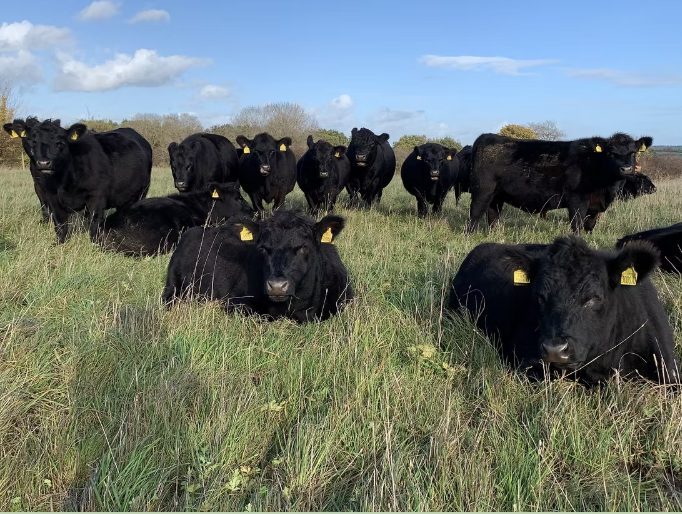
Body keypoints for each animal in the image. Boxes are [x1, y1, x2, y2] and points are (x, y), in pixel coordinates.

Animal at [3, 118, 152, 244]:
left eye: (60, 143)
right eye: (33, 141)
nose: (43, 163)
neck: (64, 180)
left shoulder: (97, 195)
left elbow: (94, 222)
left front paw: (96, 244)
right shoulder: (49, 194)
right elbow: (59, 222)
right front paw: (59, 243)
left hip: (142, 191)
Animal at [465, 133, 653, 234]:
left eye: (633, 152)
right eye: (611, 153)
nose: (626, 169)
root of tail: (487, 136)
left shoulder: (594, 206)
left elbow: (589, 226)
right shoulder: (577, 200)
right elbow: (577, 225)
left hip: (497, 195)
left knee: (493, 216)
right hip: (482, 191)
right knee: (474, 216)